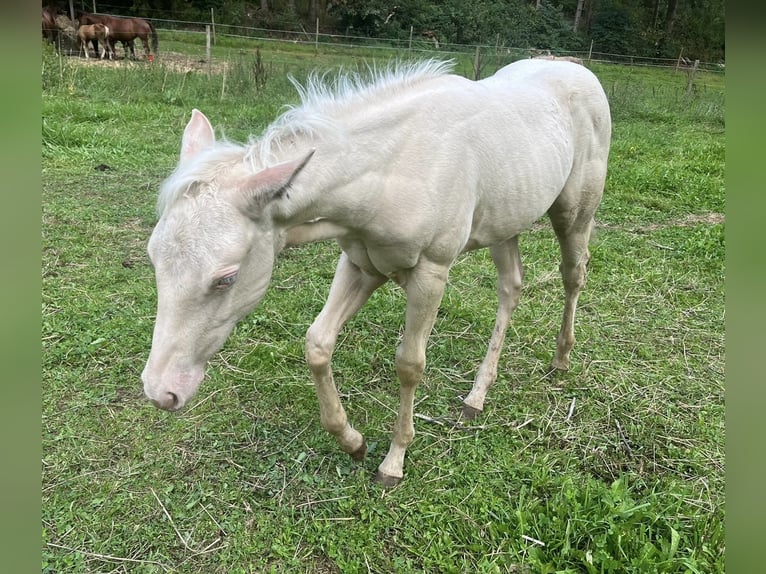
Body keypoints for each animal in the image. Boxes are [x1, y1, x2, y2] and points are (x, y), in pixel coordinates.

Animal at [142, 59, 612, 486]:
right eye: (153, 259)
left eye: (226, 277)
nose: (161, 392)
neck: (390, 169)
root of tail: (579, 70)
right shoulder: (361, 264)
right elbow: (318, 343)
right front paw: (353, 442)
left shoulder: (431, 272)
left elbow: (409, 364)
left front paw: (394, 461)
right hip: (505, 220)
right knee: (511, 286)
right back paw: (477, 395)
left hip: (574, 213)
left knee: (573, 274)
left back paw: (561, 358)